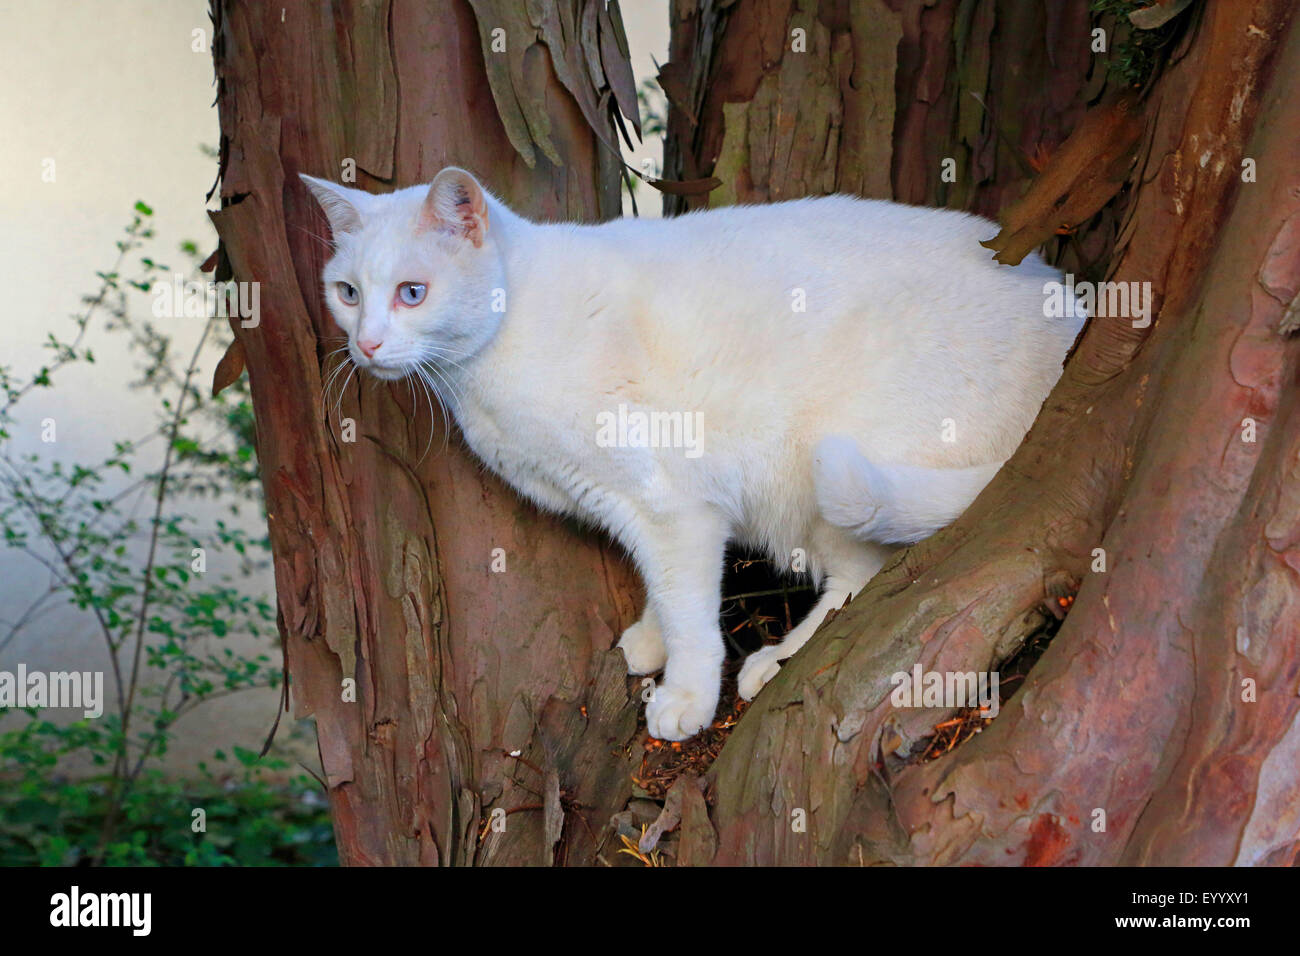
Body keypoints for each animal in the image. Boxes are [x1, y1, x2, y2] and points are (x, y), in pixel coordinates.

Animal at [299, 167, 1081, 743]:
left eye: (412, 293)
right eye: (348, 293)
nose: (366, 345)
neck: (494, 353)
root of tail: (1074, 317)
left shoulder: (673, 502)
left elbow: (691, 610)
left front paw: (686, 696)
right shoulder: (635, 508)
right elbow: (665, 586)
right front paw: (651, 638)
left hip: (836, 475)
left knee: (862, 579)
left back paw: (777, 661)